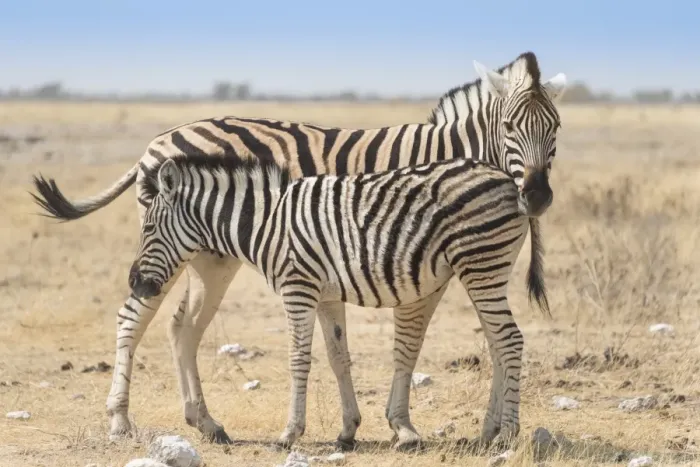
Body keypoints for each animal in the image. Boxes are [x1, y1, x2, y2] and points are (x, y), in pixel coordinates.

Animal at [127, 153, 551, 450]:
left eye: (147, 228)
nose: (135, 283)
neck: (268, 223)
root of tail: (507, 180)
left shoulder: (298, 288)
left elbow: (299, 359)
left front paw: (290, 433)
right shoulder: (326, 295)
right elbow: (338, 358)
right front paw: (348, 431)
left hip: (481, 264)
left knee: (510, 341)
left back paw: (508, 433)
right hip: (483, 270)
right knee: (497, 344)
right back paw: (489, 430)